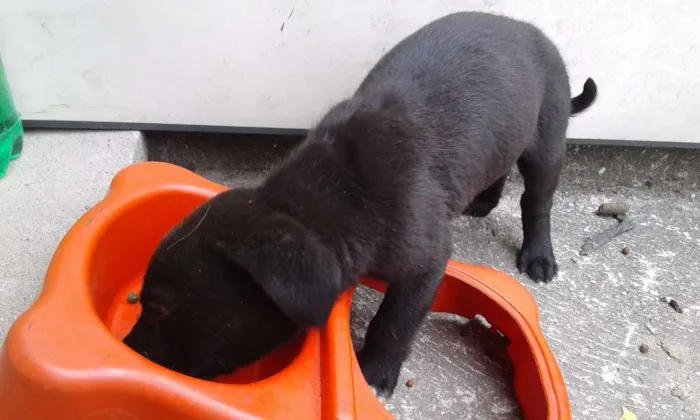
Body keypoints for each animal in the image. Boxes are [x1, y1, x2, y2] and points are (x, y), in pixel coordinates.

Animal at [124, 10, 596, 398]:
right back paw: (482, 201)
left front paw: (375, 373)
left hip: (548, 137)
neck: (330, 200)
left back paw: (539, 255)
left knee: (537, 199)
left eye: (161, 309)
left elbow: (393, 322)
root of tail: (531, 31)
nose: (129, 348)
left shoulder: (425, 265)